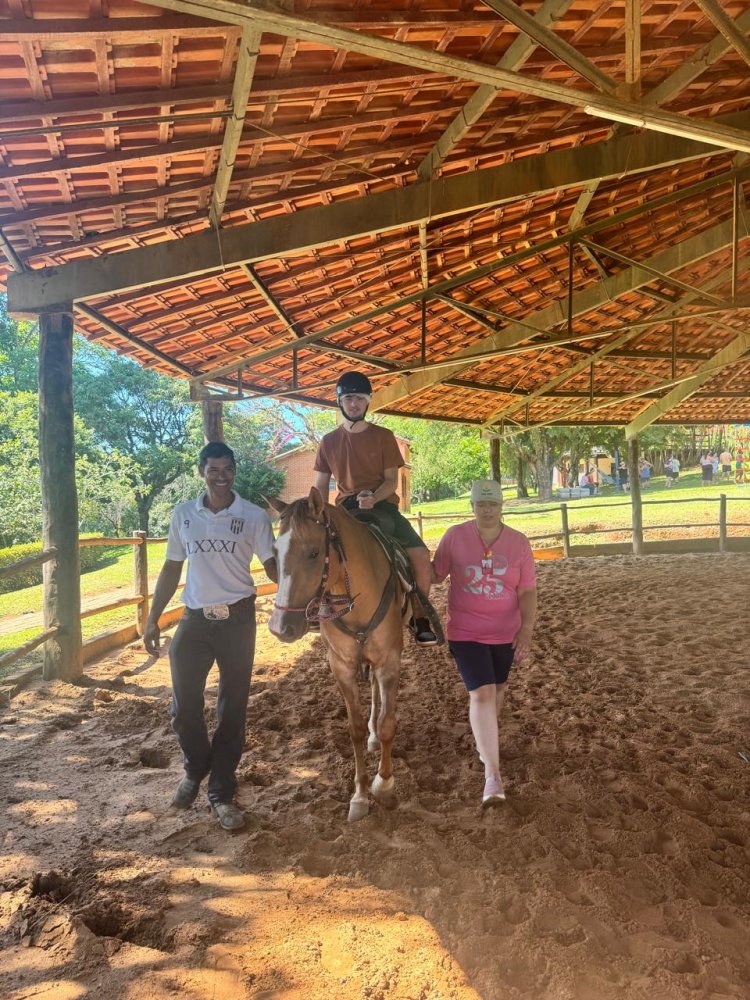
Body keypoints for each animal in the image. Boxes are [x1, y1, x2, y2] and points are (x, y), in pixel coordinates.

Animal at [268, 488, 402, 824]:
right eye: (275, 553)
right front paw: (360, 795)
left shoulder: (389, 661)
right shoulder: (341, 666)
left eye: (314, 553)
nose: (280, 627)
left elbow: (387, 724)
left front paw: (384, 785)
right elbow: (354, 729)